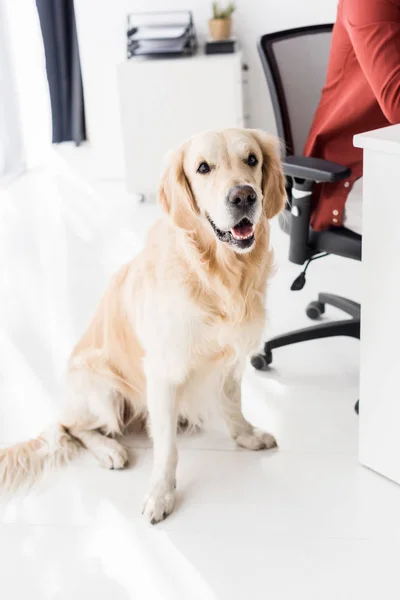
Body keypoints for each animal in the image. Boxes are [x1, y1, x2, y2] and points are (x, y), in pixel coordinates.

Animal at [0, 129, 288, 524]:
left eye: (252, 160)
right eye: (203, 168)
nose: (244, 196)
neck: (218, 273)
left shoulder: (230, 358)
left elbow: (232, 404)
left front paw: (246, 435)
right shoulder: (163, 372)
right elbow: (166, 449)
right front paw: (160, 494)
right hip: (100, 383)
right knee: (71, 427)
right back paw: (109, 450)